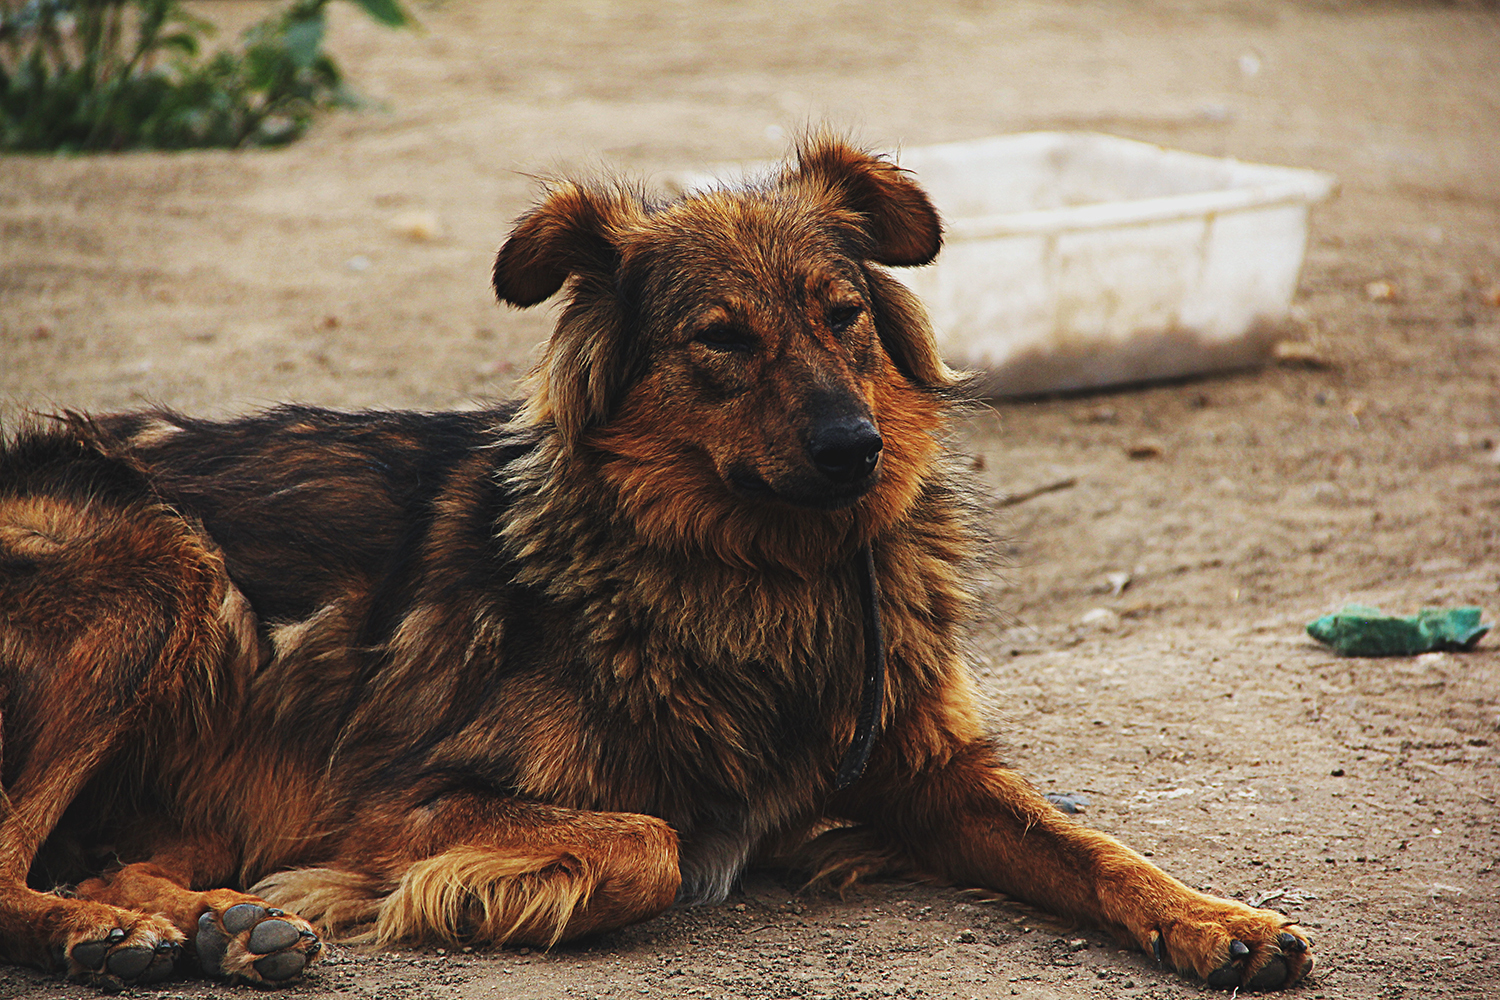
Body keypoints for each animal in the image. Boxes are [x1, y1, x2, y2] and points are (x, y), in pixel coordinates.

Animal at [0, 138, 1314, 995]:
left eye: (843, 312)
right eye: (720, 339)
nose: (857, 449)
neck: (767, 575)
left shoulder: (930, 766)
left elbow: (1096, 849)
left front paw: (1218, 921)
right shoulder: (394, 796)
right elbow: (648, 838)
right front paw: (479, 894)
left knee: (127, 858)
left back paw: (222, 927)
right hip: (161, 568)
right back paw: (108, 937)